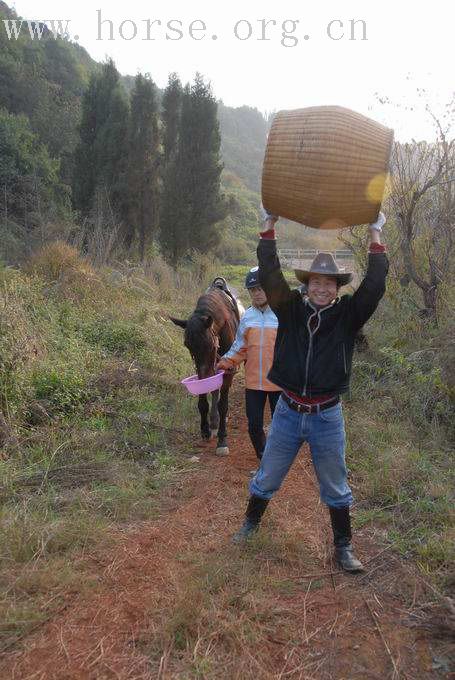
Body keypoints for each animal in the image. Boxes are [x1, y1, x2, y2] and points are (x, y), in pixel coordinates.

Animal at [171, 282, 242, 456]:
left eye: (209, 344)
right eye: (187, 345)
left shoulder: (226, 371)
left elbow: (223, 405)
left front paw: (222, 440)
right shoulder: (202, 373)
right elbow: (203, 400)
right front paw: (205, 430)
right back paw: (214, 423)